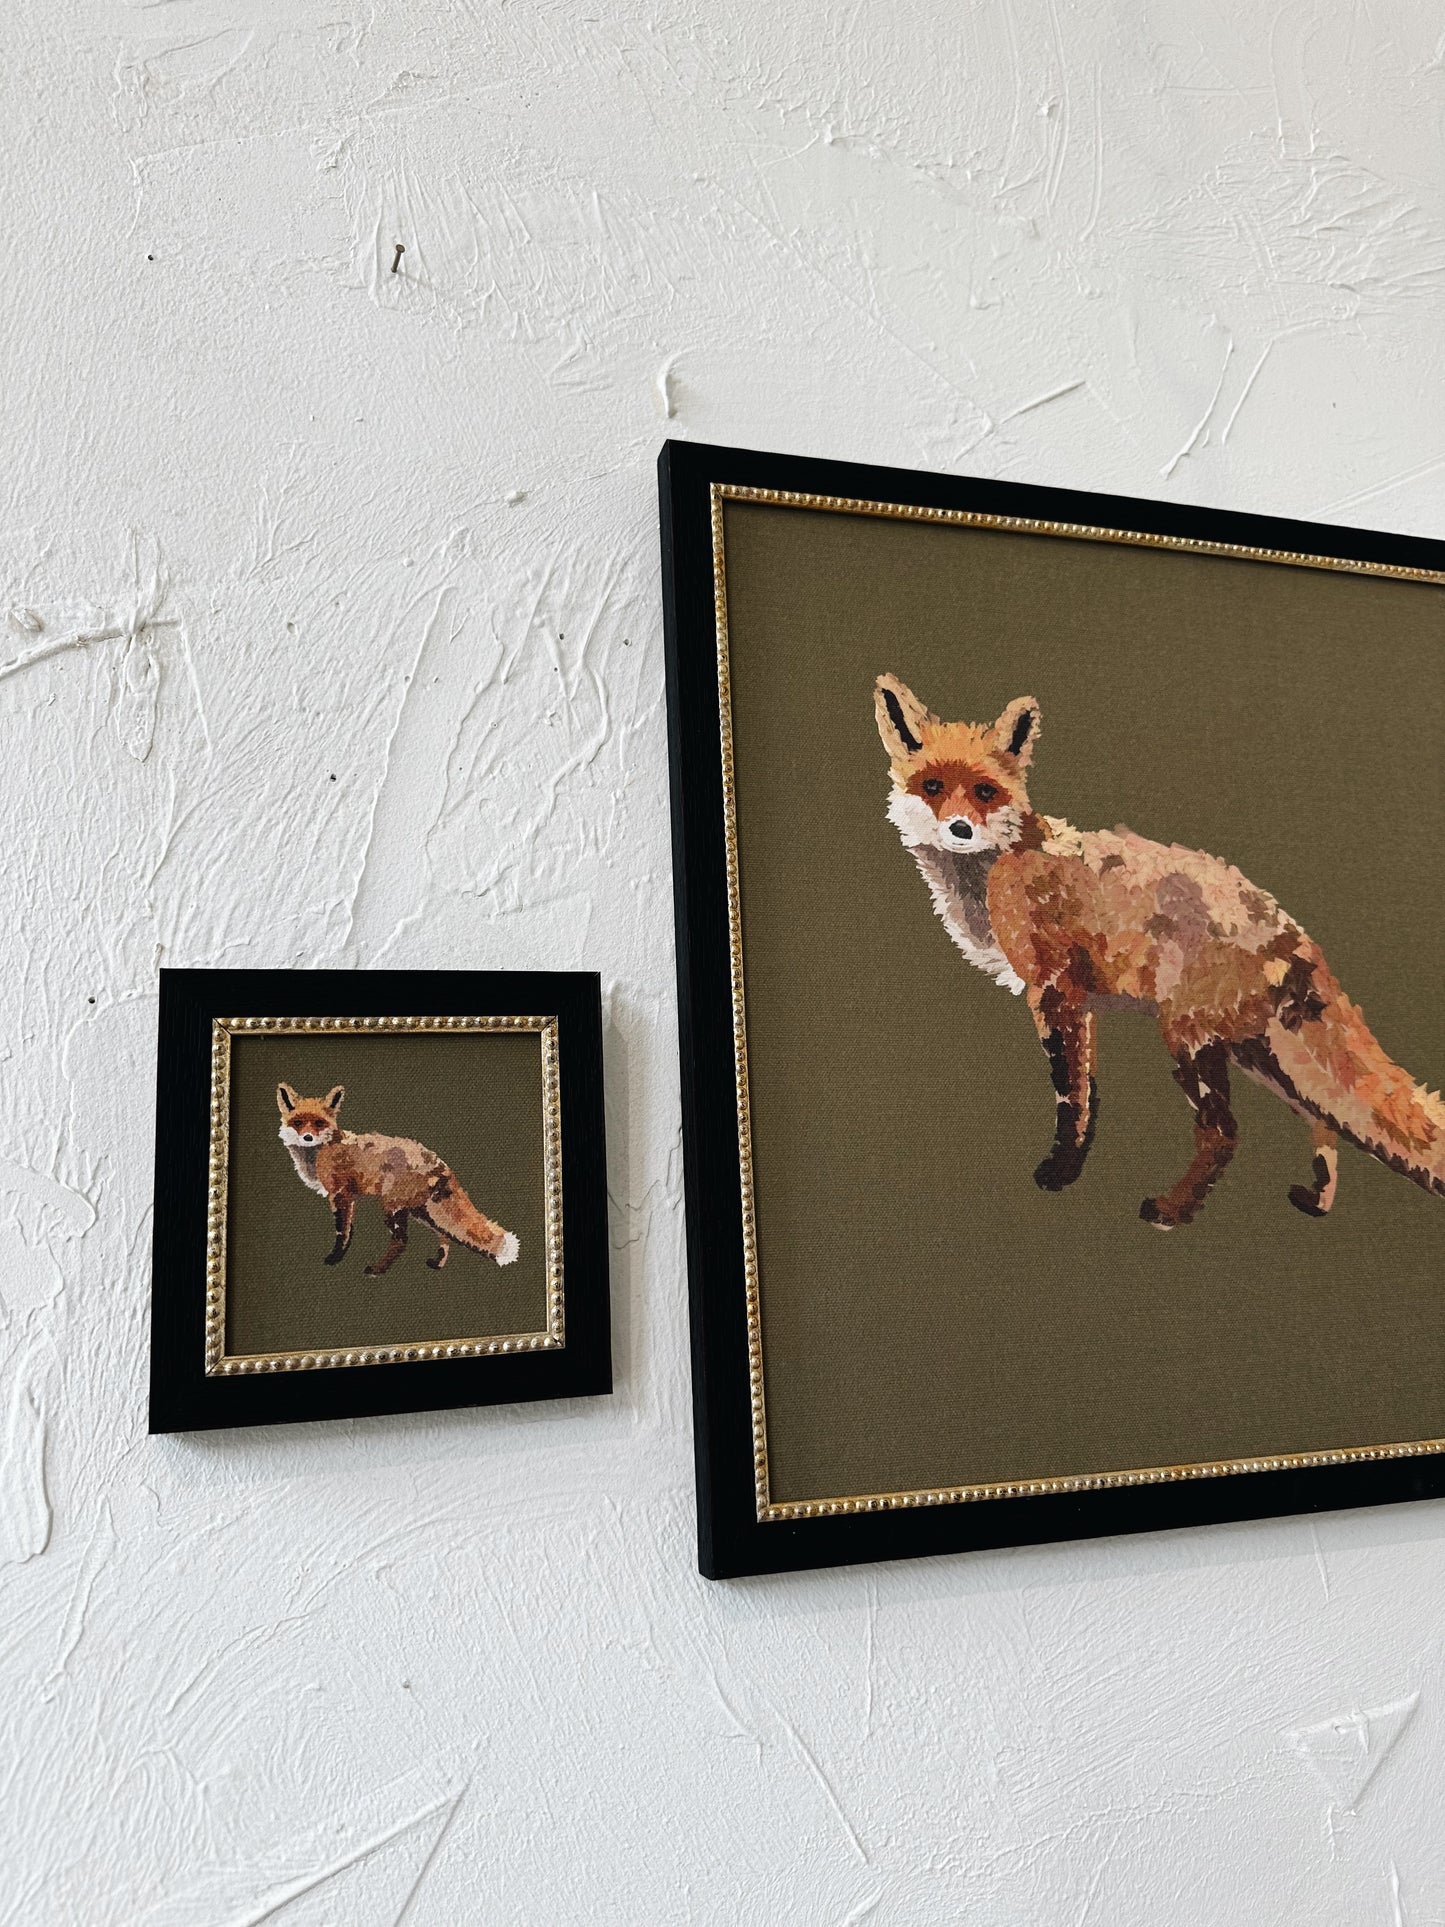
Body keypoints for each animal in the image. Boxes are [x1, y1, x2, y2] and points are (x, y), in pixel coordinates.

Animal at [275, 1084, 519, 1273]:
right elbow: (349, 1231)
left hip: (393, 1208)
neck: (319, 1152)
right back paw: (437, 1264)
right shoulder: (348, 1197)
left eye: (319, 1123)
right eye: (298, 1123)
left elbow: (342, 1232)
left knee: (402, 1242)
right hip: (422, 1212)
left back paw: (377, 1270)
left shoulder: (341, 1195)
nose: (307, 1137)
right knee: (445, 1235)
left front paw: (335, 1259)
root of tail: (438, 1161)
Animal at [874, 673, 1445, 1229]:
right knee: (1320, 1122)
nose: (960, 829)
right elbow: (1090, 1093)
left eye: (985, 791)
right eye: (932, 787)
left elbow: (1072, 1097)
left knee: (1225, 1132)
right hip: (1256, 1053)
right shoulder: (1079, 1003)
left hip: (1188, 1040)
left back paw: (1173, 1212)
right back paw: (1315, 1201)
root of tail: (1286, 924)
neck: (996, 868)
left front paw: (1059, 1174)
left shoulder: (1055, 989)